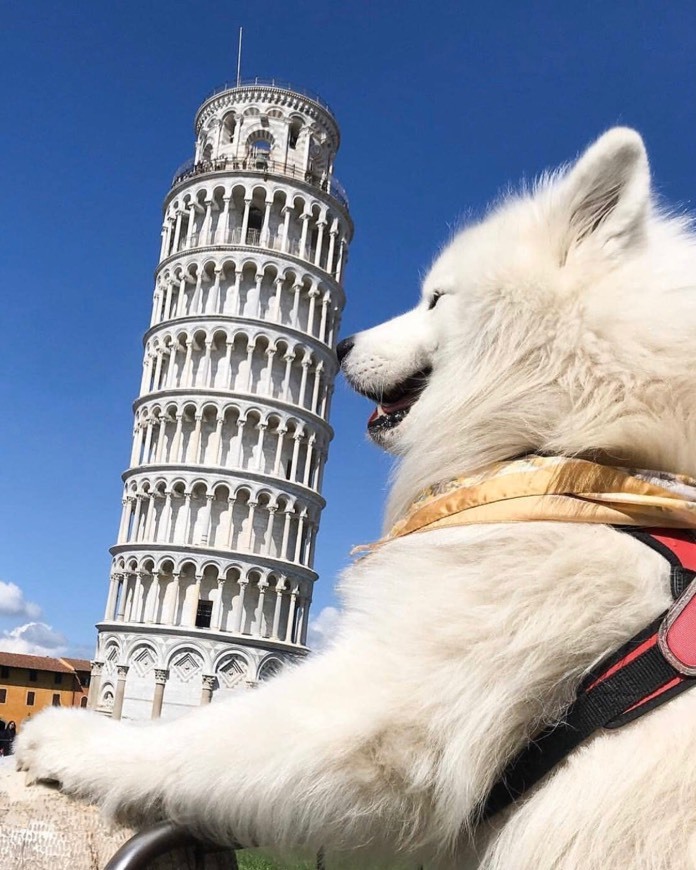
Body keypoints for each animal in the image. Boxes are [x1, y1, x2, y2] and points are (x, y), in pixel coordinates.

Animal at [13, 131, 696, 870]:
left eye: (435, 298)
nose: (342, 345)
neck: (592, 444)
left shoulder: (403, 692)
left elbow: (203, 742)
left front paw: (72, 739)